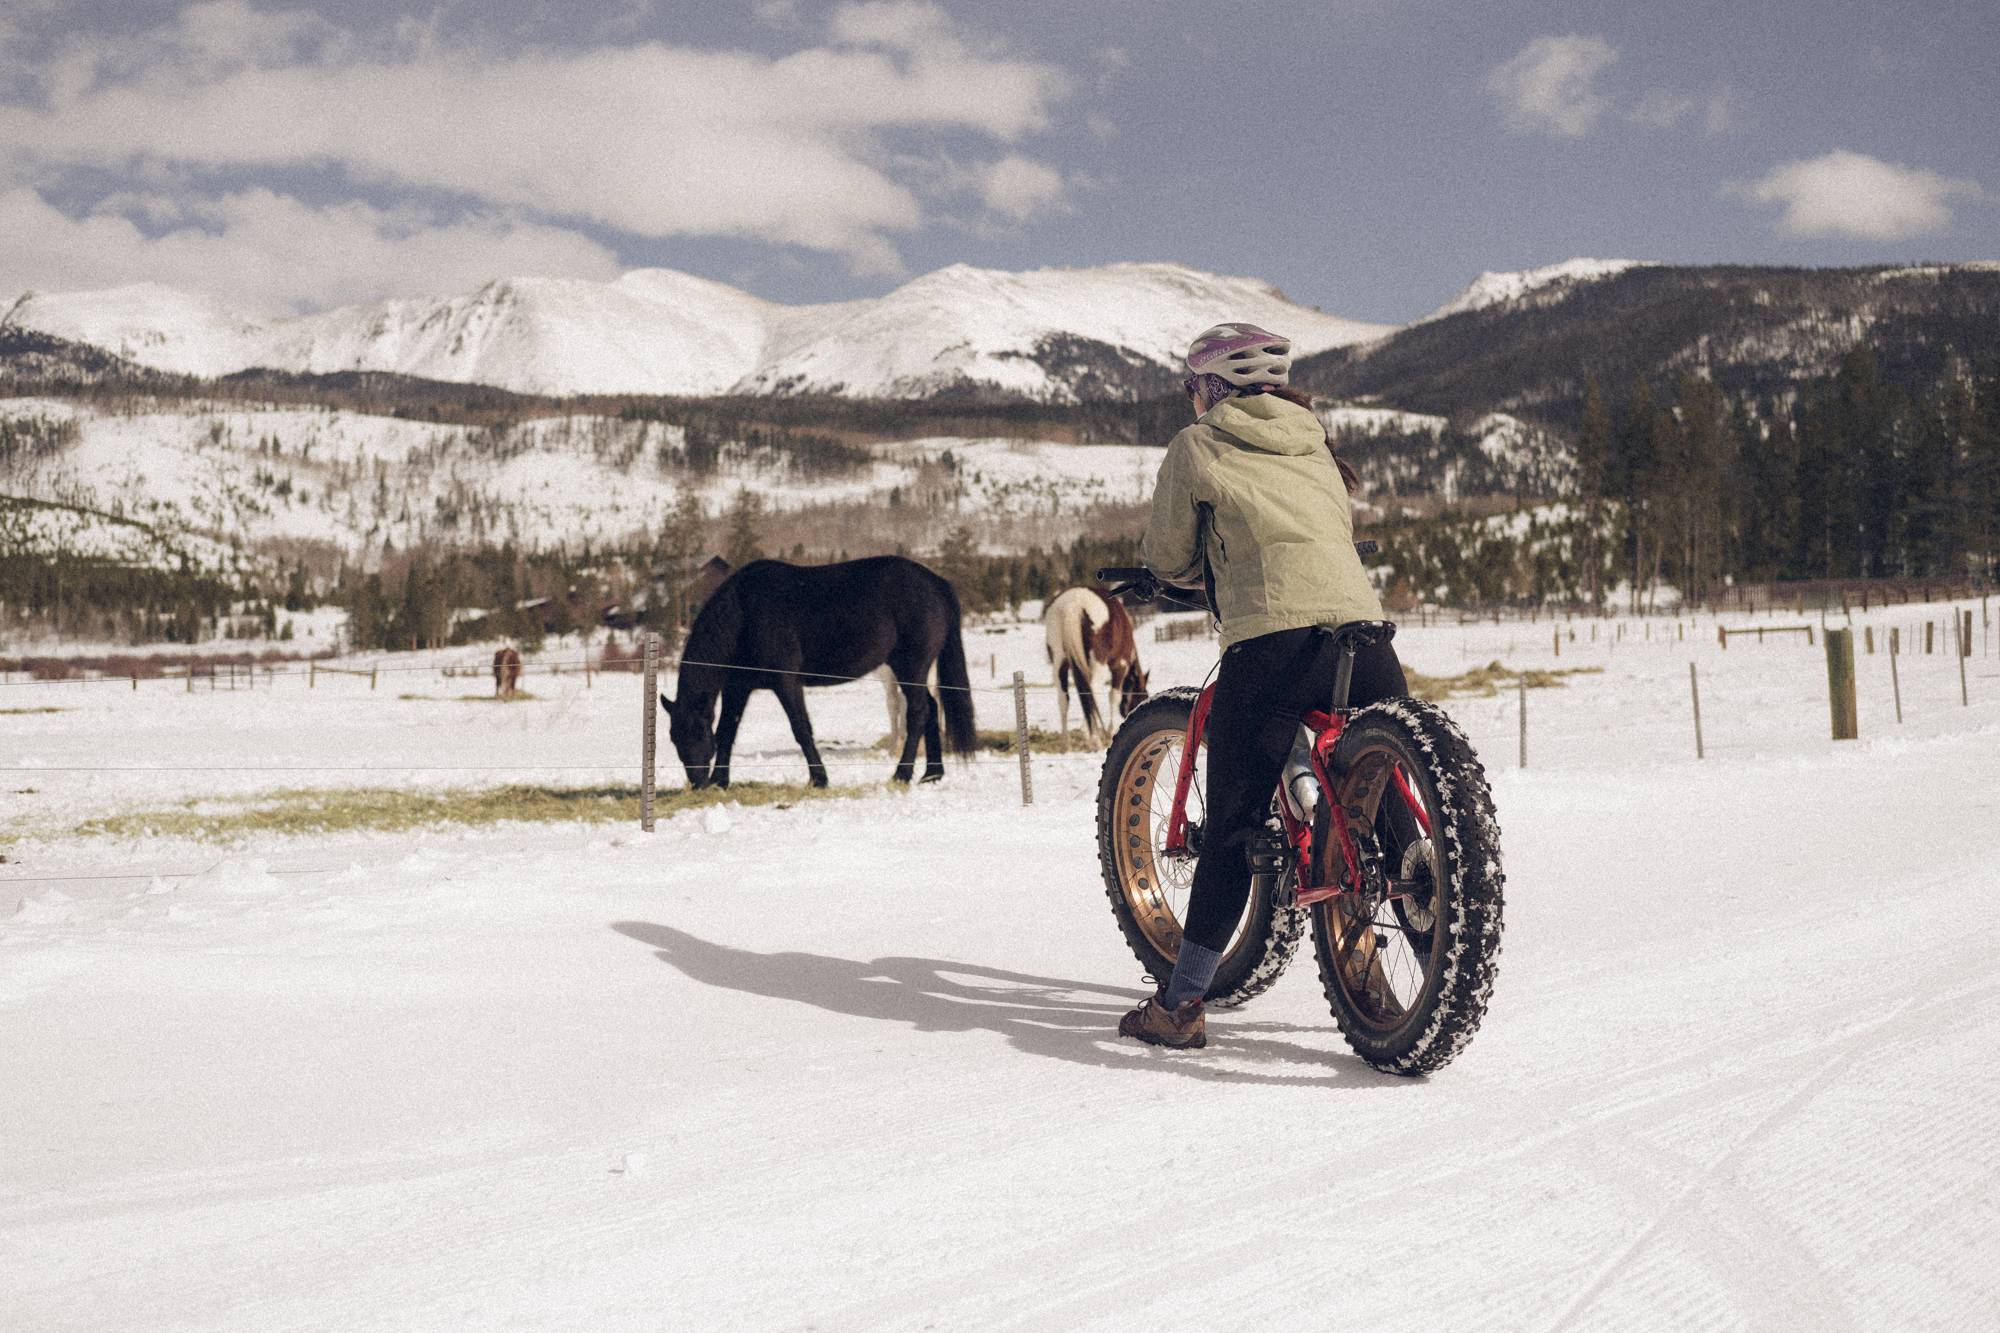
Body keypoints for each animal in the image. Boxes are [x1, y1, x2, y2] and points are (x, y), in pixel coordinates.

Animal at [1040, 584, 1152, 740]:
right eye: (1143, 697)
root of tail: (1073, 604)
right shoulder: (1119, 665)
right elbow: (1114, 696)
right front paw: (1110, 730)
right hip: (1099, 665)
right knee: (1091, 691)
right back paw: (1090, 735)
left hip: (1059, 662)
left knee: (1063, 699)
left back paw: (1066, 741)